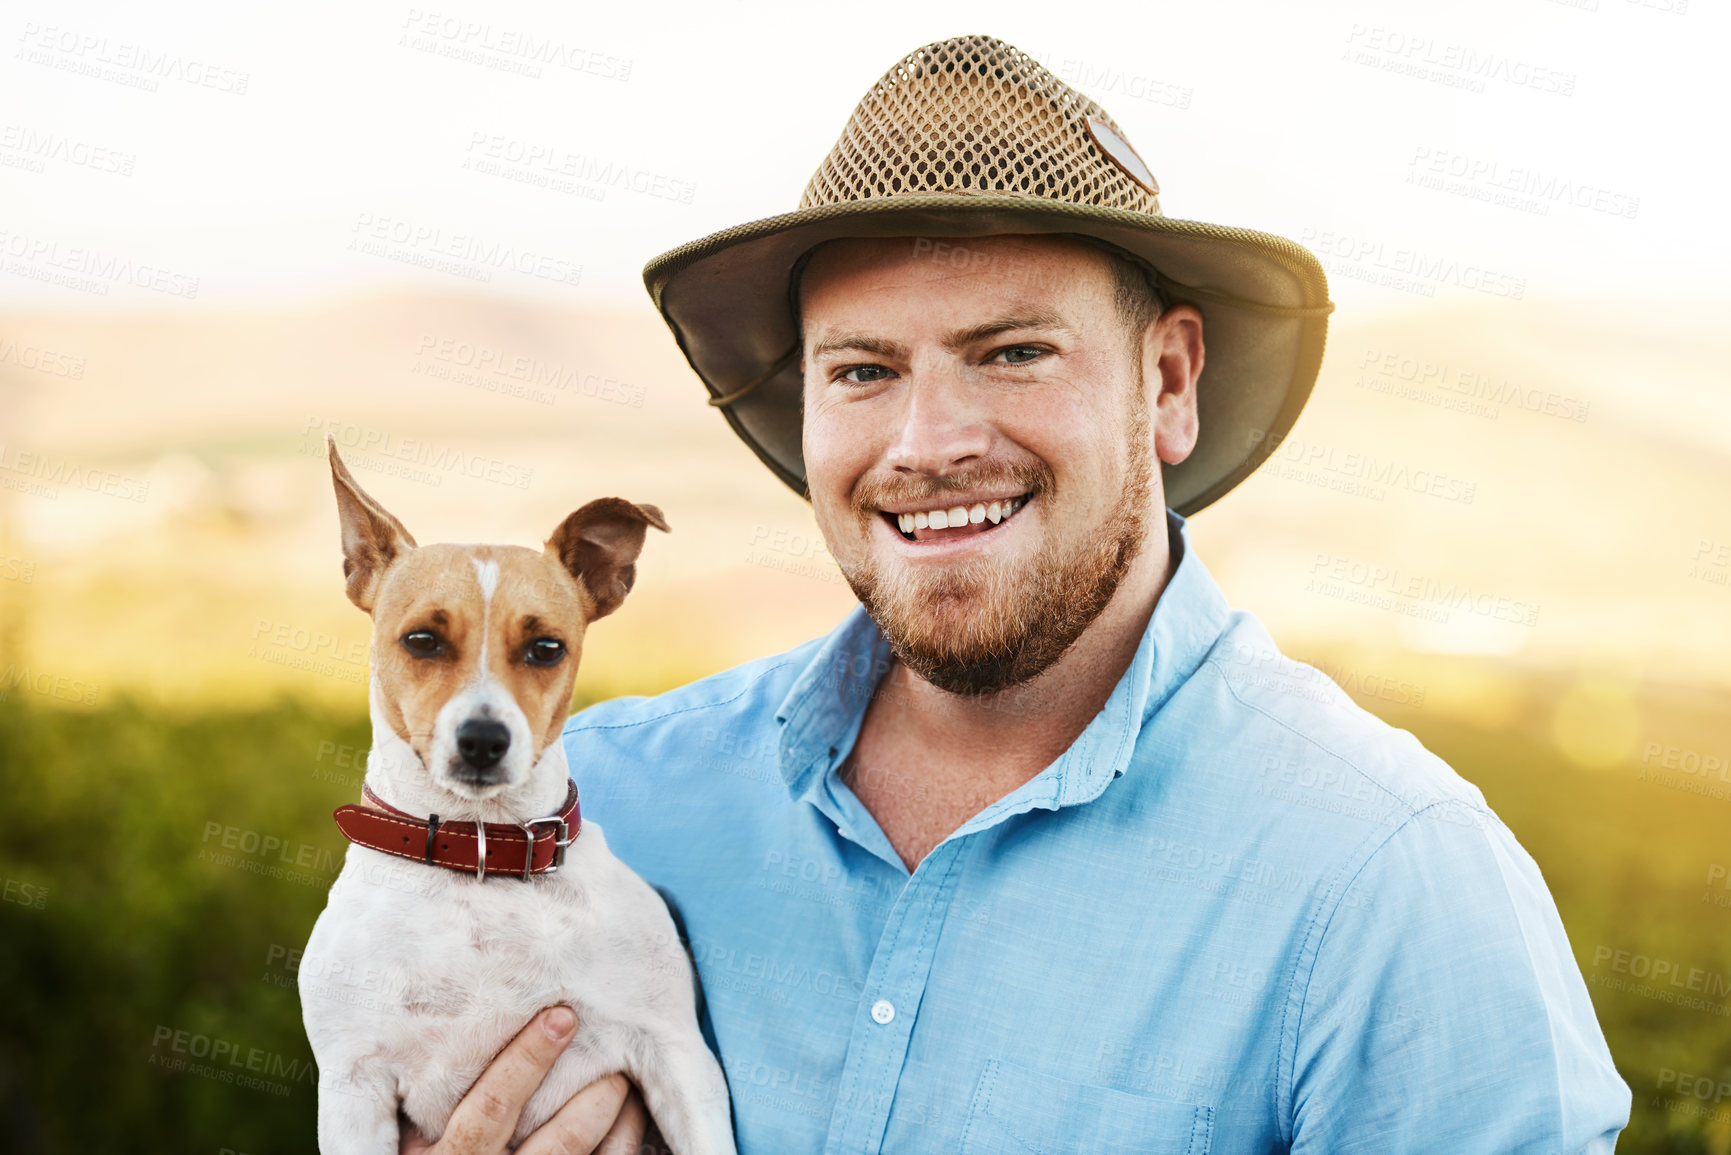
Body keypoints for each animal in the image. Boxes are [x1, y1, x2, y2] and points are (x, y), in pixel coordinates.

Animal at [301, 438, 733, 1149]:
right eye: (422, 639)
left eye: (546, 647)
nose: (483, 739)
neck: (480, 846)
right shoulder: (351, 1090)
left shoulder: (678, 1056)